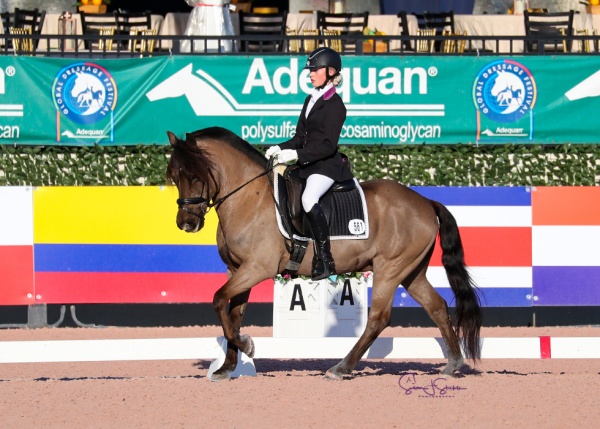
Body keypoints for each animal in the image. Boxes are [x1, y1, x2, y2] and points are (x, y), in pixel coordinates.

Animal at [164, 127, 482, 382]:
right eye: (174, 176)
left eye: (195, 175)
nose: (186, 224)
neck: (248, 198)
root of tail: (425, 201)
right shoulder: (237, 269)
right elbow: (232, 314)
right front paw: (227, 367)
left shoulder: (257, 268)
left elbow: (218, 300)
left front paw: (247, 347)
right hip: (412, 272)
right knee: (437, 306)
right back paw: (453, 363)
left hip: (390, 268)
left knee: (378, 318)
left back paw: (341, 368)